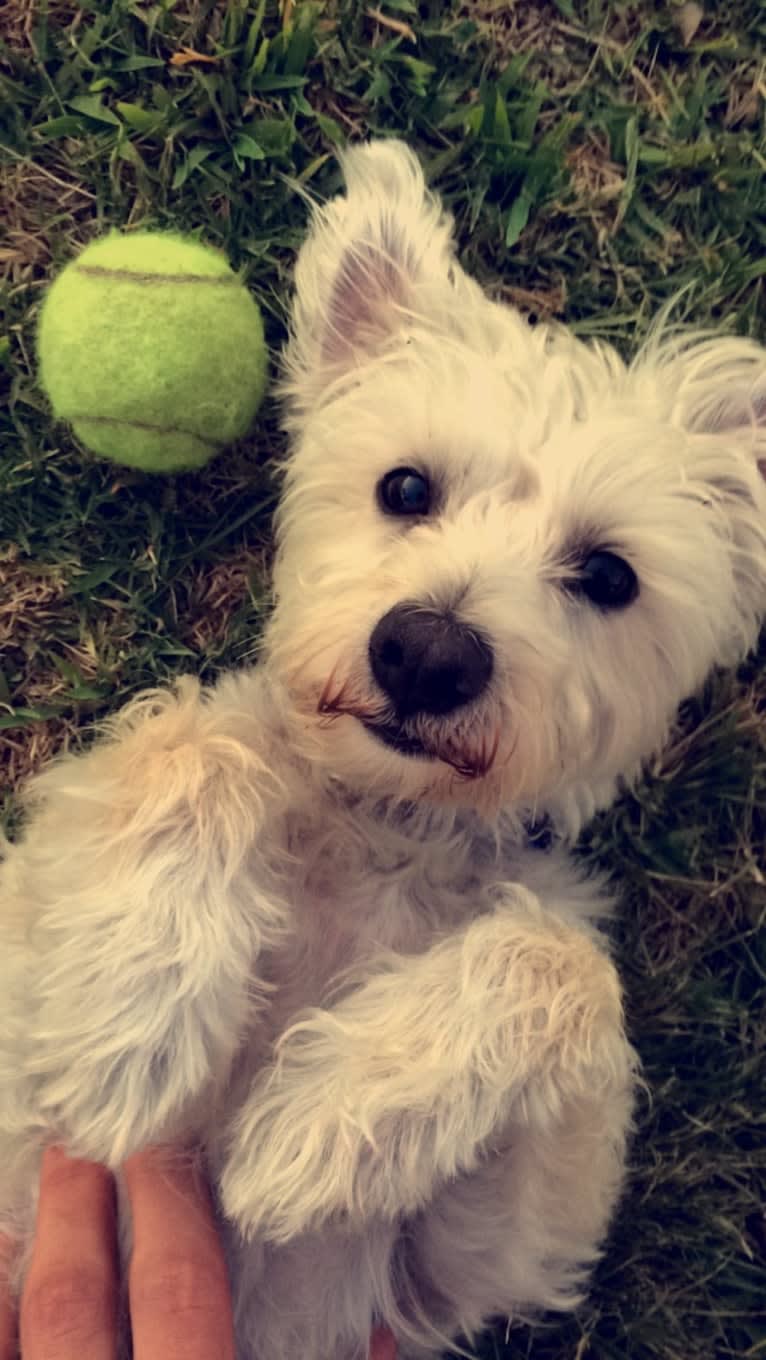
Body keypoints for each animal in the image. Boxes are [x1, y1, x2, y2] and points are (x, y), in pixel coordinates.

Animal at [1, 143, 766, 1354]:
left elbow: (563, 965)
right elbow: (193, 743)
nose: (427, 654)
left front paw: (326, 1115)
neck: (381, 829)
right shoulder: (20, 998)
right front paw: (136, 1017)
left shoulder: (471, 1271)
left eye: (609, 575)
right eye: (405, 486)